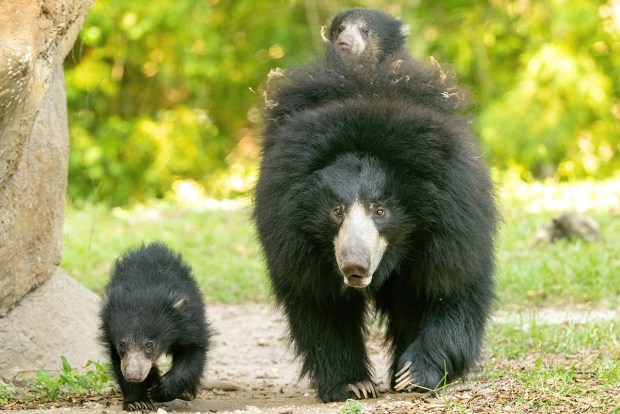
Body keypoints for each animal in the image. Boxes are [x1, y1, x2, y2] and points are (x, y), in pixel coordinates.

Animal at [254, 7, 496, 402]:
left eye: (380, 210)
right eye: (336, 210)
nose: (355, 266)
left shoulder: (452, 222)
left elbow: (451, 290)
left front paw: (415, 373)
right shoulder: (291, 237)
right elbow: (319, 305)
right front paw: (353, 384)